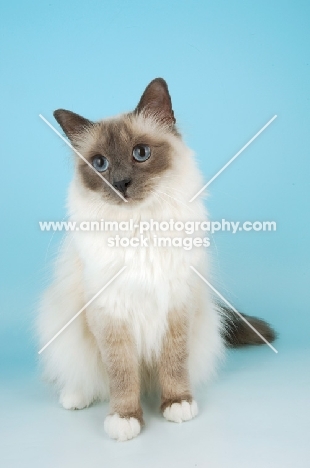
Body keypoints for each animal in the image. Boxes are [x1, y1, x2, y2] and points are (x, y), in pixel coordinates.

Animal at [37, 77, 276, 442]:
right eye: (100, 164)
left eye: (141, 153)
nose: (121, 183)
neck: (140, 228)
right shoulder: (111, 314)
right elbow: (121, 375)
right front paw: (125, 419)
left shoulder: (177, 304)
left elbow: (173, 364)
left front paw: (177, 404)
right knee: (85, 376)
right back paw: (75, 397)